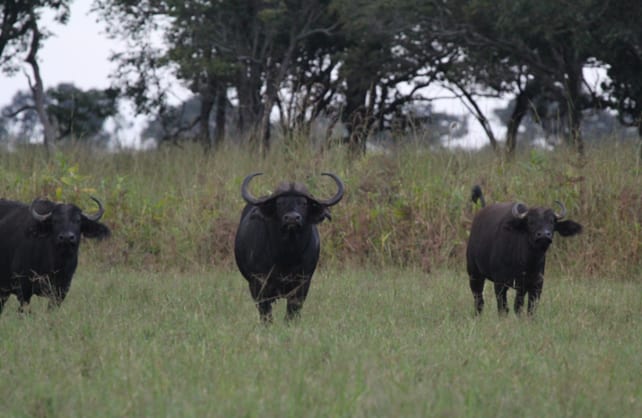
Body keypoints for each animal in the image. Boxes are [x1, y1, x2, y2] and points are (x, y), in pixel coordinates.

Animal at [234, 172, 344, 322]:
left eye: (303, 203)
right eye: (280, 203)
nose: (292, 218)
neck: (287, 254)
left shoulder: (302, 284)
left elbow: (292, 312)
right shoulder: (258, 283)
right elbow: (265, 313)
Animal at [466, 185, 582, 315]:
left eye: (552, 222)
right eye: (530, 222)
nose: (544, 235)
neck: (527, 262)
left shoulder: (535, 285)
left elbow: (526, 308)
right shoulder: (500, 283)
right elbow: (503, 308)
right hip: (474, 274)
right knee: (478, 299)